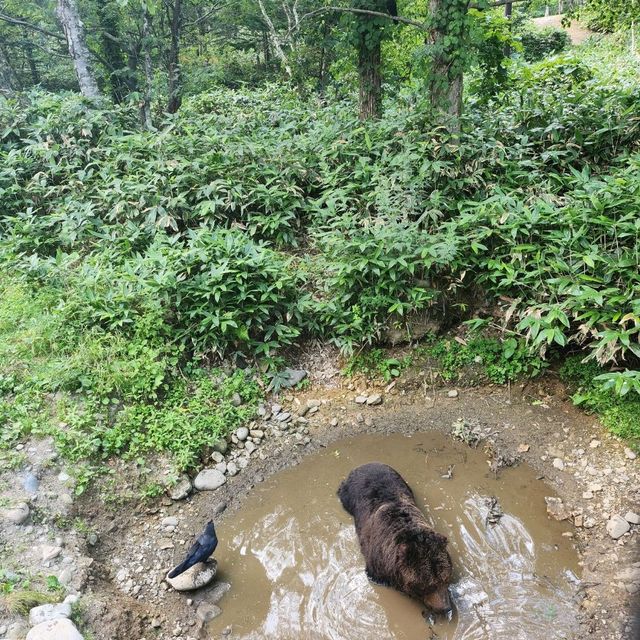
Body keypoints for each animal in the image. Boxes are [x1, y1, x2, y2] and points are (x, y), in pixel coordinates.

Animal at [338, 462, 452, 612]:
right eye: (428, 585)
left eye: (445, 579)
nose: (445, 608)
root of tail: (366, 463)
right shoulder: (378, 564)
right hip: (348, 493)